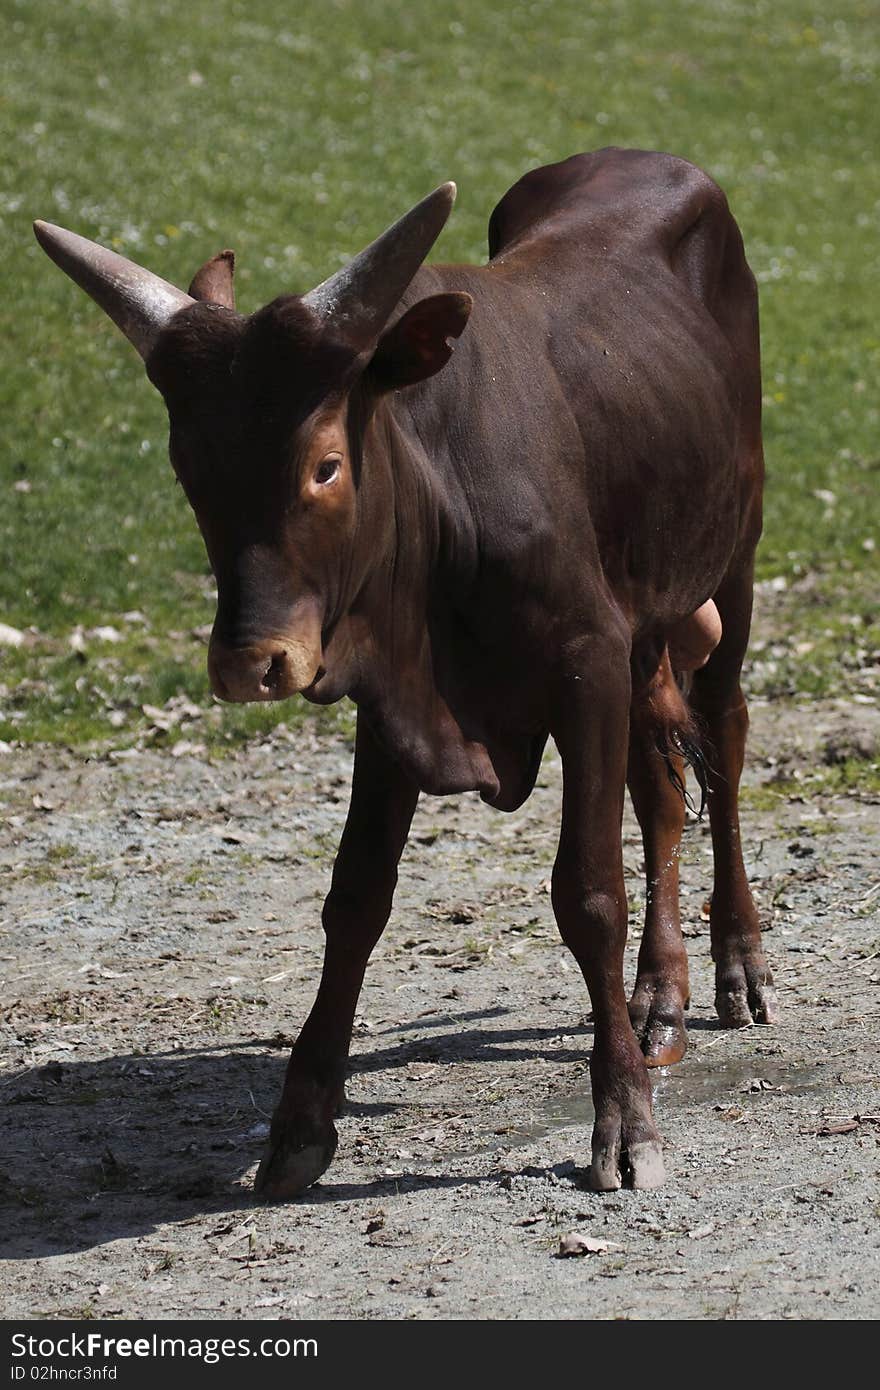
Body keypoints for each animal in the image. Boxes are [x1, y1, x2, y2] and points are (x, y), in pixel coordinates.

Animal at [34, 149, 772, 1195]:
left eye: (325, 465)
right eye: (189, 468)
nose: (251, 661)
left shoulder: (585, 664)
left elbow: (589, 895)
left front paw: (626, 1120)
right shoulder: (391, 706)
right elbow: (356, 899)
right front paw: (299, 1123)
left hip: (730, 565)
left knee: (725, 745)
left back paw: (737, 963)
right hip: (646, 627)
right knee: (663, 791)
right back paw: (659, 996)